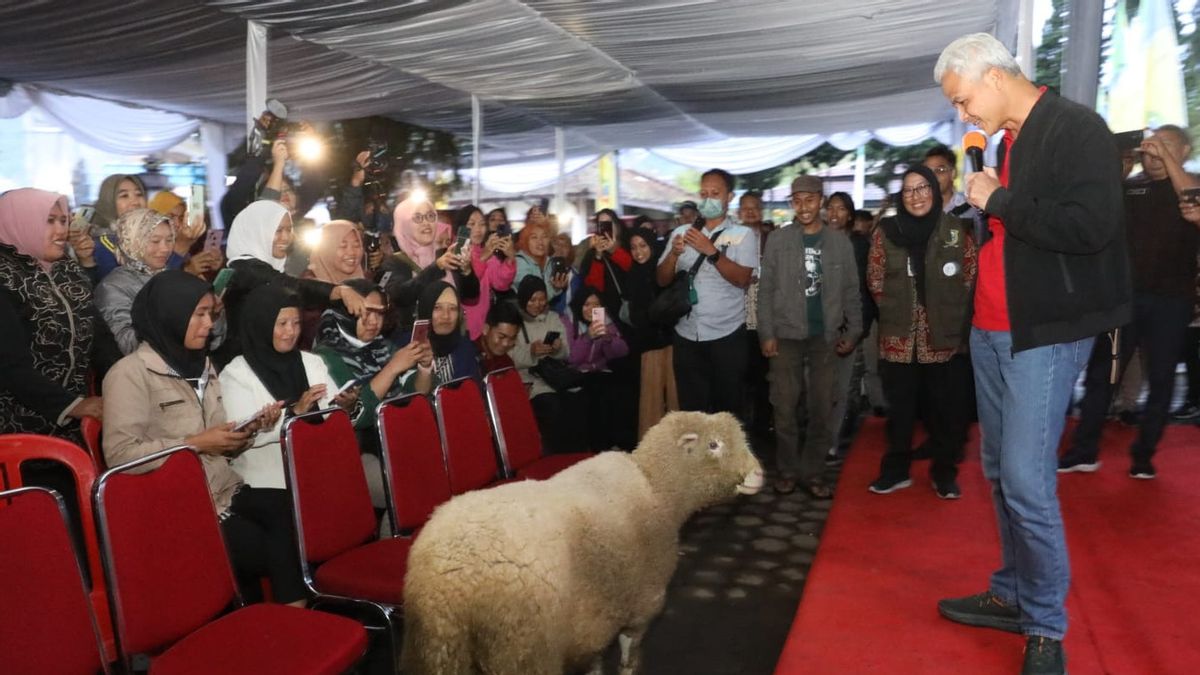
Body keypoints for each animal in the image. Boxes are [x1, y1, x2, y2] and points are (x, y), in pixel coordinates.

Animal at [398, 410, 763, 672]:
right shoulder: (643, 605)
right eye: (714, 445)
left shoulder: (593, 623)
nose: (759, 473)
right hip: (520, 649)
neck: (658, 489)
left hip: (436, 650)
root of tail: (449, 581)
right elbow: (629, 656)